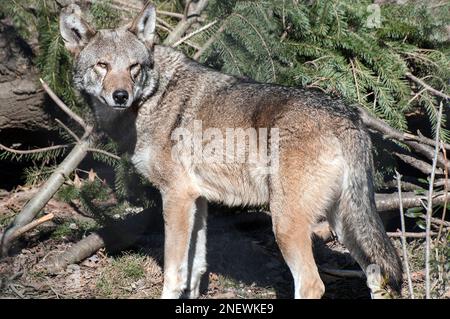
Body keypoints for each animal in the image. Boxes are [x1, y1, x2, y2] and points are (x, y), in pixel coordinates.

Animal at [60, 1, 404, 300]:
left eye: (134, 68)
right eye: (102, 66)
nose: (121, 95)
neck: (152, 100)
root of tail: (349, 117)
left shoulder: (176, 197)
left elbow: (173, 272)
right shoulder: (197, 199)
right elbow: (195, 268)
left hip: (287, 225)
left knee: (312, 285)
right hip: (343, 225)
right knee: (377, 276)